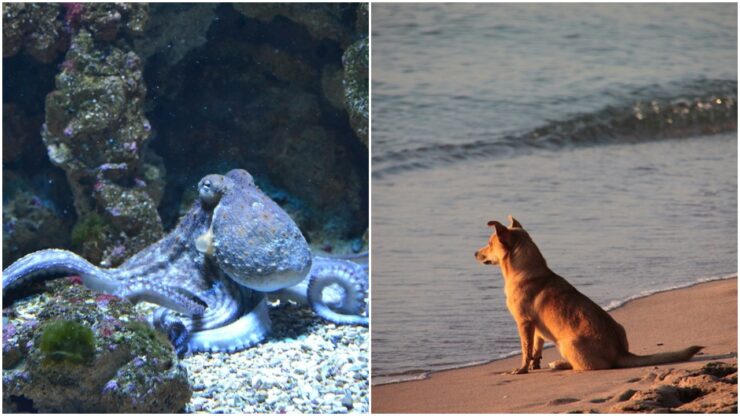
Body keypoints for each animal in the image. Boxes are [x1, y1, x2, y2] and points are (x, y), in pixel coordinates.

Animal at [476, 216, 704, 376]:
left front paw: (522, 369)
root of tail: (620, 352)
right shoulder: (535, 327)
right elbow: (536, 348)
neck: (526, 270)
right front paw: (534, 364)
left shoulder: (523, 323)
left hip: (567, 343)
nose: (475, 253)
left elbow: (525, 349)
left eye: (489, 243)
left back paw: (560, 363)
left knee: (584, 367)